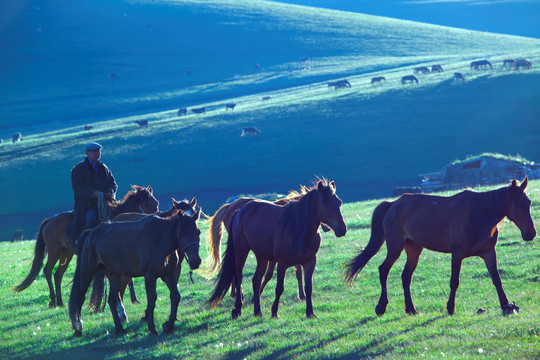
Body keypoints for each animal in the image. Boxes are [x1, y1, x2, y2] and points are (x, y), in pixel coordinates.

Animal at [12, 186, 159, 306]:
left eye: (155, 201)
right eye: (146, 200)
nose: (157, 213)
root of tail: (49, 221)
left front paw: (134, 299)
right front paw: (132, 299)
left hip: (66, 254)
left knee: (58, 275)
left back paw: (60, 302)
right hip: (54, 252)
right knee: (47, 271)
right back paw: (53, 301)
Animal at [68, 210, 201, 336]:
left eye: (198, 232)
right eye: (182, 233)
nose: (196, 261)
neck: (159, 239)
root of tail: (91, 232)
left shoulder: (169, 275)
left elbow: (175, 297)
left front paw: (168, 325)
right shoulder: (150, 277)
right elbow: (151, 301)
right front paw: (152, 328)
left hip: (114, 275)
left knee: (112, 300)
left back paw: (119, 328)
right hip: (87, 272)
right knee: (79, 297)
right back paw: (78, 328)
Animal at [207, 179, 346, 318]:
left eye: (339, 202)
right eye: (325, 203)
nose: (342, 229)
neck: (298, 228)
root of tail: (238, 211)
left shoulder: (310, 262)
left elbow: (308, 287)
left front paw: (310, 312)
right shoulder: (282, 263)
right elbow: (279, 288)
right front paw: (274, 311)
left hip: (261, 256)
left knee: (256, 280)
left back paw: (257, 311)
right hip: (241, 250)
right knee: (238, 277)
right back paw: (238, 308)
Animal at [346, 179, 536, 316]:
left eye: (528, 202)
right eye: (518, 204)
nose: (531, 233)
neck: (479, 215)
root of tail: (393, 204)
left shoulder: (489, 252)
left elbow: (496, 278)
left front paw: (506, 305)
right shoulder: (457, 254)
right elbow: (454, 281)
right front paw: (450, 308)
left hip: (414, 249)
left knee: (405, 276)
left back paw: (411, 309)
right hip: (395, 247)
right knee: (383, 270)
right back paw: (381, 306)